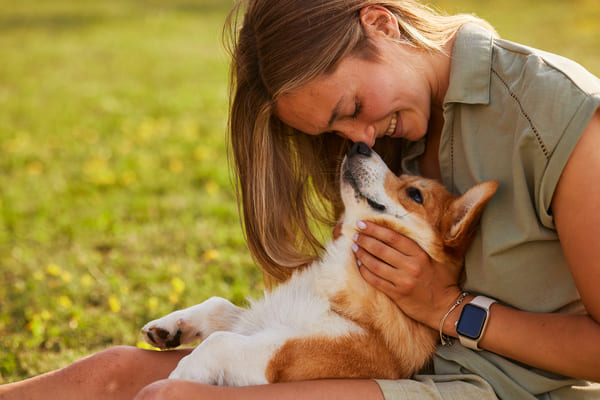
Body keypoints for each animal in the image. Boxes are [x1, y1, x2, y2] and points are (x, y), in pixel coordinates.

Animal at [142, 142, 496, 386]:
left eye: (415, 194)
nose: (359, 144)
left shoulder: (290, 353)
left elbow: (220, 341)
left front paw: (182, 373)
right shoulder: (262, 319)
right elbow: (219, 306)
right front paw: (169, 327)